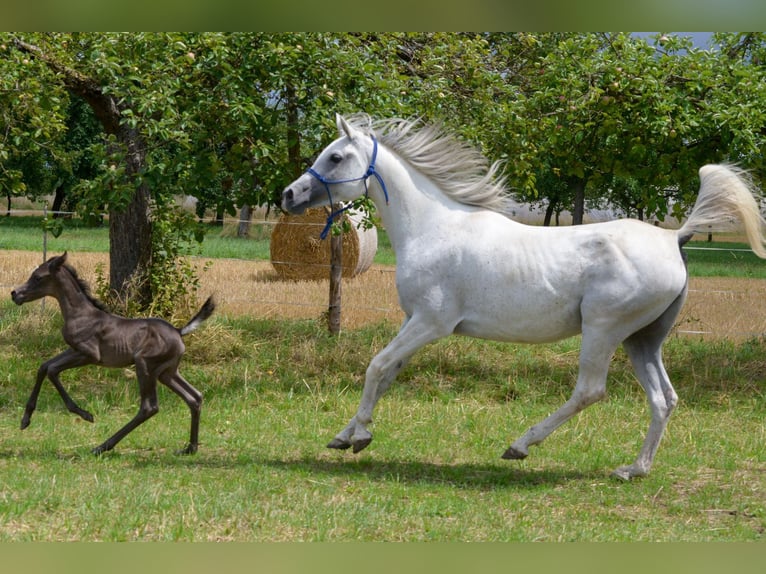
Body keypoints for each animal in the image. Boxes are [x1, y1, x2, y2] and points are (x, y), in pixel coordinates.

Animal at [10, 254, 216, 456]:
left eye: (38, 277)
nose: (15, 294)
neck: (80, 314)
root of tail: (179, 331)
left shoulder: (89, 354)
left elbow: (52, 370)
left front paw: (85, 414)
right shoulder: (74, 350)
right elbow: (43, 366)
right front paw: (25, 420)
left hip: (145, 365)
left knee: (149, 407)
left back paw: (102, 446)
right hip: (167, 372)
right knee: (195, 397)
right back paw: (190, 448)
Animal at [282, 113, 766, 482]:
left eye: (336, 156)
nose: (288, 195)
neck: (434, 228)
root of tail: (674, 238)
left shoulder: (431, 323)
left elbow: (377, 366)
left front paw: (361, 436)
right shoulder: (412, 321)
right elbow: (386, 373)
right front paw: (344, 436)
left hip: (604, 330)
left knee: (590, 390)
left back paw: (519, 445)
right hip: (642, 338)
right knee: (664, 398)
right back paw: (633, 469)